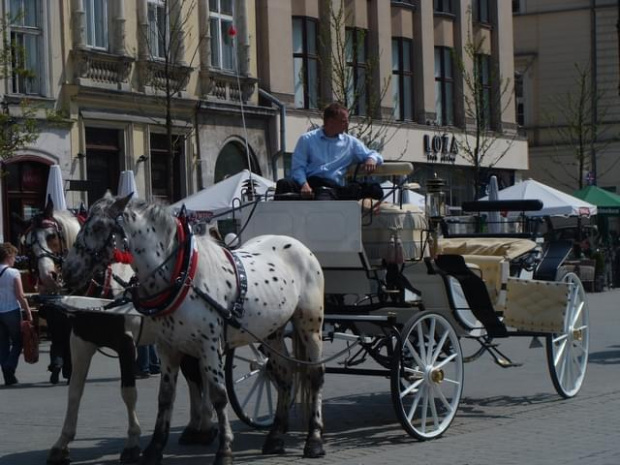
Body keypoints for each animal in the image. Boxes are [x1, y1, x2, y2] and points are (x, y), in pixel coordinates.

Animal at [60, 193, 326, 464]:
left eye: (98, 227)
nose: (67, 270)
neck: (182, 274)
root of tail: (298, 245)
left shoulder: (207, 346)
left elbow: (218, 395)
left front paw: (224, 449)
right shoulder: (166, 347)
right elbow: (165, 396)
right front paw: (154, 449)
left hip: (310, 324)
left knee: (315, 374)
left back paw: (314, 439)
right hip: (271, 330)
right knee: (284, 374)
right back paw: (274, 437)